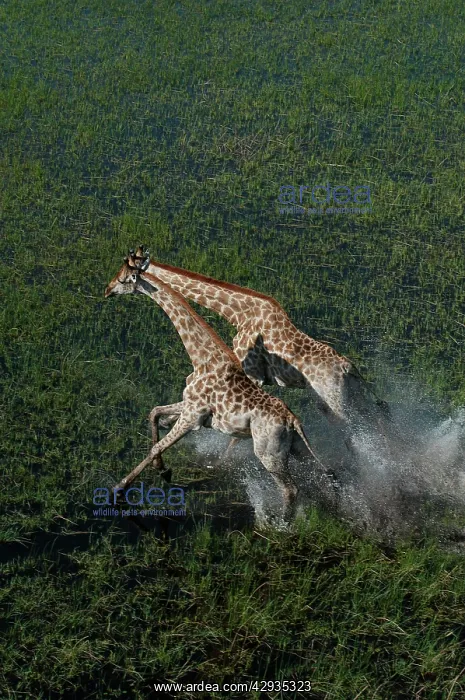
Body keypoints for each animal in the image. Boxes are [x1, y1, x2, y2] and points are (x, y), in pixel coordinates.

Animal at [104, 251, 322, 524]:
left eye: (123, 278)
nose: (107, 290)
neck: (202, 358)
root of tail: (293, 421)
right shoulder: (189, 405)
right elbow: (154, 412)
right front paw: (163, 470)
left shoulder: (192, 416)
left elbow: (157, 444)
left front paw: (118, 490)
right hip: (294, 450)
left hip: (268, 453)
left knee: (290, 489)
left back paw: (278, 525)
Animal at [126, 246, 390, 438]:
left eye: (126, 274)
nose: (114, 287)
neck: (240, 313)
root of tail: (349, 367)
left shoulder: (251, 372)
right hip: (350, 397)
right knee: (377, 415)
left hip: (338, 402)